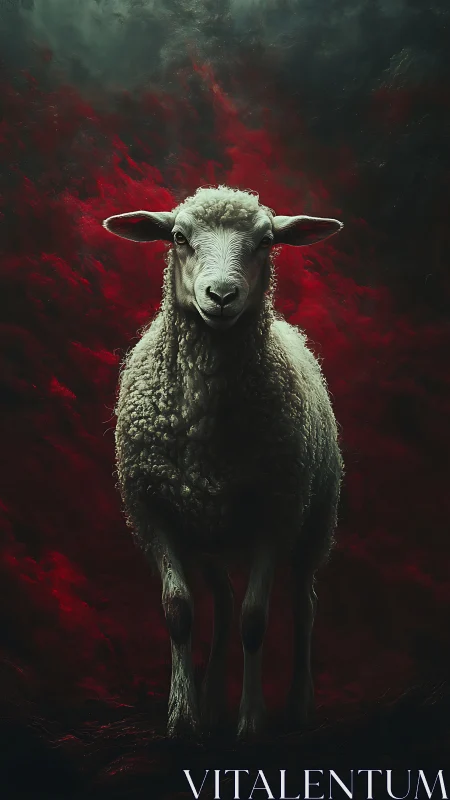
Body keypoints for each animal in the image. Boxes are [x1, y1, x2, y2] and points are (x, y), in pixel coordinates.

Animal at [102, 185, 344, 740]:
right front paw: (183, 715)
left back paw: (300, 705)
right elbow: (179, 611)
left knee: (303, 606)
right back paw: (210, 698)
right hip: (206, 532)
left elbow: (256, 620)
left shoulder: (276, 513)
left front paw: (251, 720)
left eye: (266, 241)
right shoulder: (153, 513)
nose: (221, 296)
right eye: (177, 236)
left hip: (316, 518)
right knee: (224, 602)